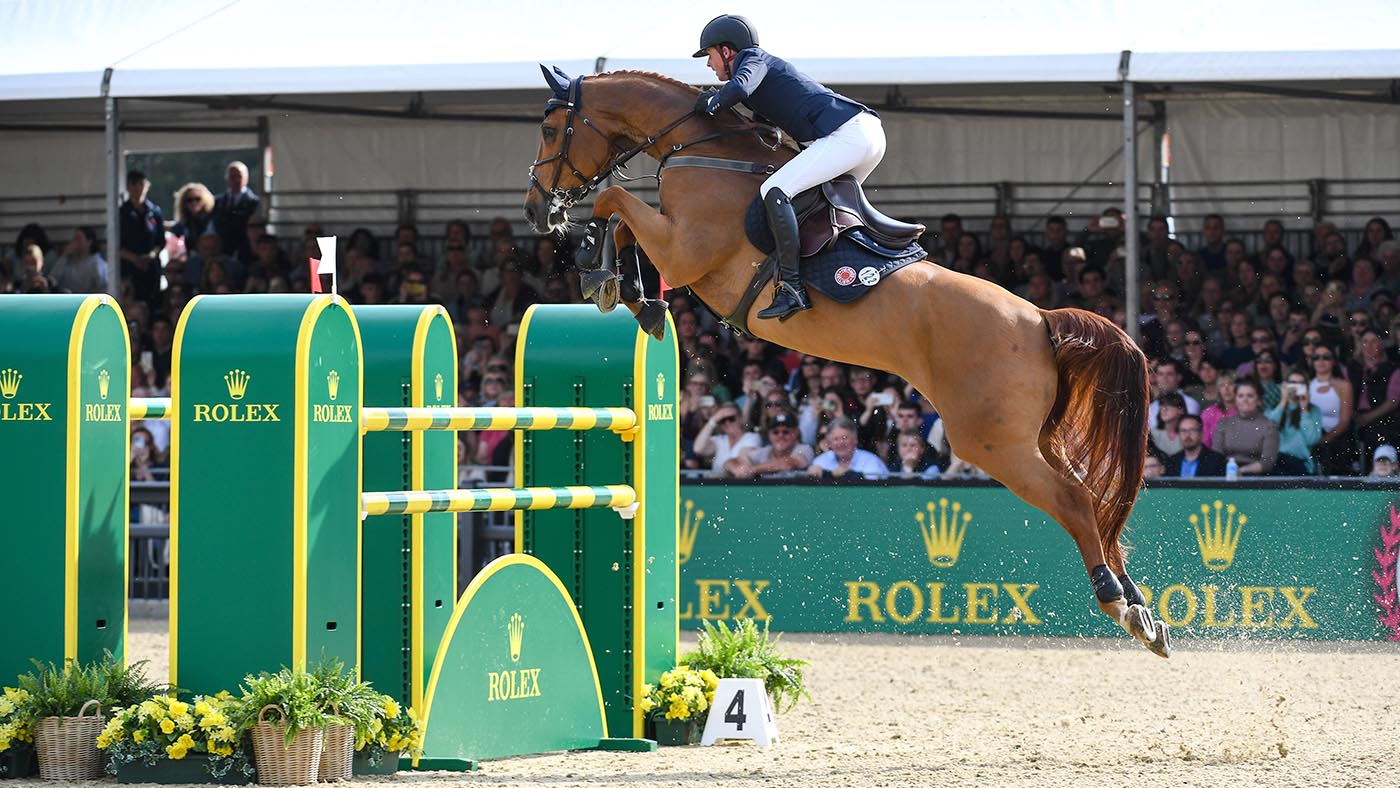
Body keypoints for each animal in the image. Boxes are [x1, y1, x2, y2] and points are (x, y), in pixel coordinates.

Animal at [523, 68, 1169, 657]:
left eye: (551, 128)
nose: (536, 212)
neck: (701, 151)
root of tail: (1039, 320)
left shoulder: (683, 251)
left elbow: (613, 203)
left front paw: (604, 274)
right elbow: (618, 216)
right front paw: (628, 290)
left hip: (994, 444)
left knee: (1075, 502)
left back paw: (1120, 604)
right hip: (1034, 437)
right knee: (1095, 502)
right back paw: (1143, 610)